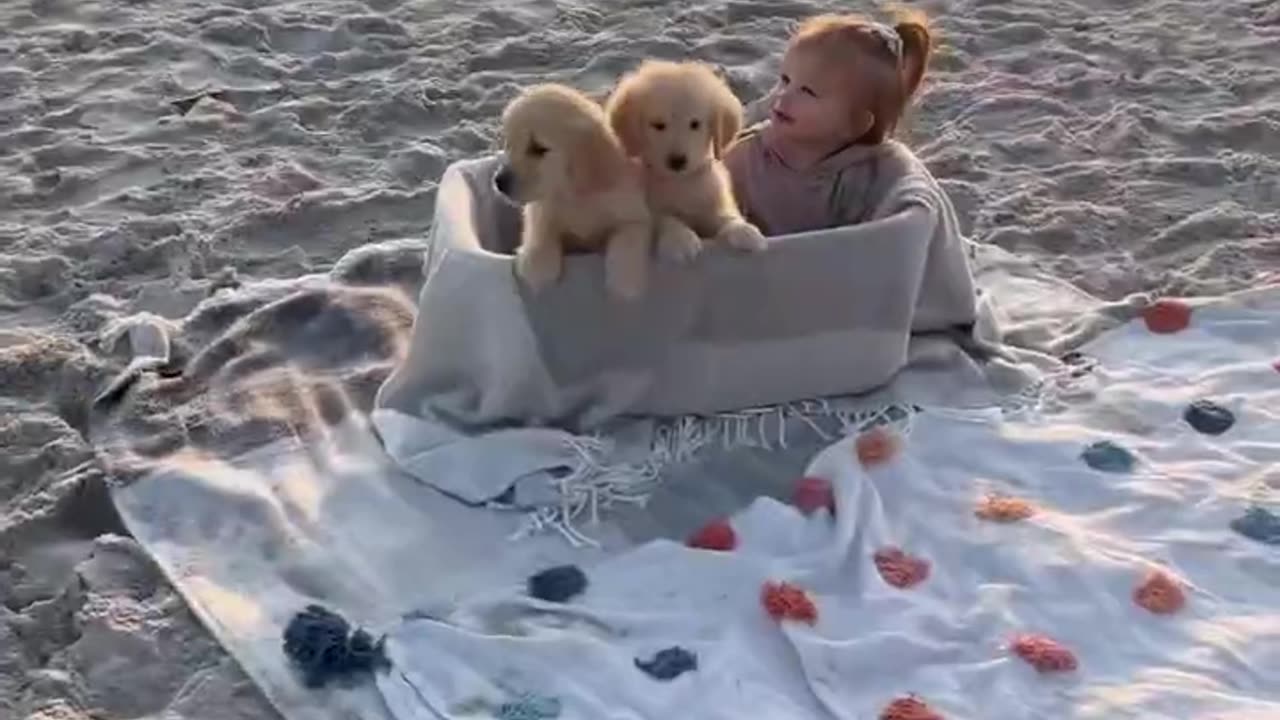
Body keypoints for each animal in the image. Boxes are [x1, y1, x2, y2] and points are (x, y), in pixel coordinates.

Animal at [494, 83, 655, 297]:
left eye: (538, 148)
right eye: (508, 144)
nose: (499, 182)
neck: (574, 193)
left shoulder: (632, 213)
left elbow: (628, 237)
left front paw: (624, 282)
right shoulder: (542, 209)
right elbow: (540, 231)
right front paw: (537, 269)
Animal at [604, 58, 762, 260]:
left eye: (695, 124)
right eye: (658, 125)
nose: (677, 161)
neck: (680, 182)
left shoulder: (712, 199)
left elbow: (725, 215)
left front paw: (743, 230)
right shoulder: (645, 208)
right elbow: (665, 218)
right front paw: (679, 237)